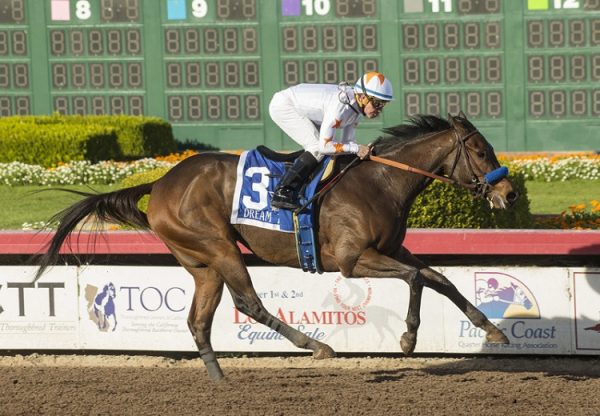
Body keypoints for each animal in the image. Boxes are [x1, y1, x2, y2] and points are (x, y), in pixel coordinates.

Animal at [35, 114, 516, 380]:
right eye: (479, 151)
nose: (509, 194)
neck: (381, 181)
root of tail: (162, 181)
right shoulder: (352, 260)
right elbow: (418, 278)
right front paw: (409, 338)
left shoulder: (392, 250)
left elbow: (439, 278)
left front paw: (490, 329)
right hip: (219, 247)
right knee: (248, 302)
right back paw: (316, 346)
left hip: (201, 263)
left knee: (198, 321)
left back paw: (220, 381)